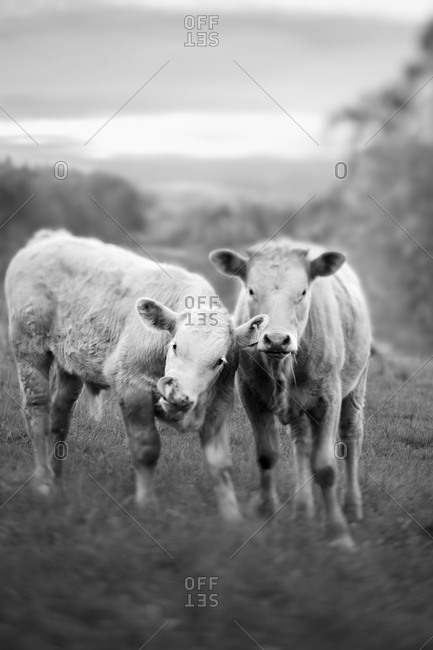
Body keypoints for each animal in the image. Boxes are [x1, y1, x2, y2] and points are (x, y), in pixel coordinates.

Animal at [5, 230, 267, 520]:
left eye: (219, 361)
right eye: (174, 346)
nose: (178, 396)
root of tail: (49, 237)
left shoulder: (221, 402)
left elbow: (221, 464)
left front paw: (232, 517)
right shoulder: (133, 388)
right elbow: (146, 448)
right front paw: (146, 504)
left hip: (69, 363)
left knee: (60, 417)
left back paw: (57, 480)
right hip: (29, 347)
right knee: (38, 413)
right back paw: (42, 481)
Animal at [210, 238, 372, 549]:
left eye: (304, 292)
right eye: (251, 290)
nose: (276, 339)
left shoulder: (329, 398)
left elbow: (325, 467)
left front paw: (338, 532)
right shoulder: (250, 393)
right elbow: (267, 455)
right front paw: (267, 511)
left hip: (357, 384)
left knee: (351, 436)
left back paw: (353, 507)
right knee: (301, 443)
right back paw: (303, 508)